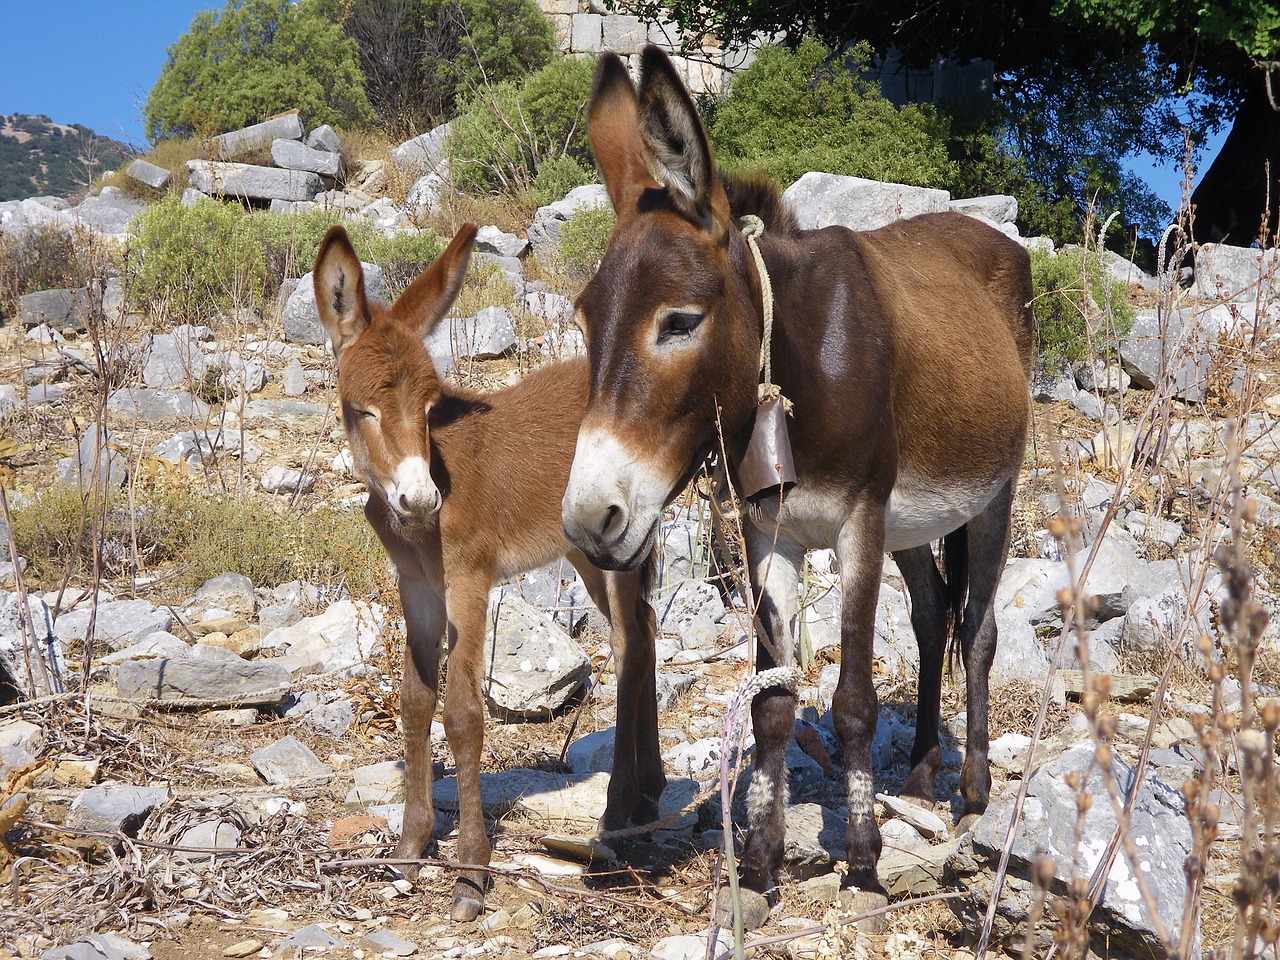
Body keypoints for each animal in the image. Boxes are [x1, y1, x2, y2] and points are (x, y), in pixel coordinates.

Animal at [314, 225, 665, 926]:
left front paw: (471, 874)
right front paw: (410, 847)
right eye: (360, 409)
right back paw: (649, 792)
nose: (421, 500)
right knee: (639, 632)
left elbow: (464, 713)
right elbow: (416, 702)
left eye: (430, 405)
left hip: (616, 547)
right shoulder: (419, 589)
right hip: (588, 551)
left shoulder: (469, 581)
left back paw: (621, 810)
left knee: (632, 644)